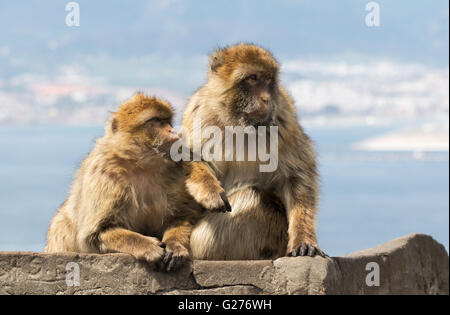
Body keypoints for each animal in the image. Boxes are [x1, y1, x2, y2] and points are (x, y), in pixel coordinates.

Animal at [45, 94, 230, 272]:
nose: (173, 132)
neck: (142, 164)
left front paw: (174, 245)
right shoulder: (103, 176)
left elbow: (183, 215)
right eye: (155, 121)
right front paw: (147, 246)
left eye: (167, 121)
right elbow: (95, 233)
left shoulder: (175, 172)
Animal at [181, 43, 326, 262]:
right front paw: (210, 190)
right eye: (252, 78)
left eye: (268, 79)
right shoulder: (199, 113)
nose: (266, 98)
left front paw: (303, 240)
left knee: (254, 197)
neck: (238, 124)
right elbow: (183, 155)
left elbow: (297, 174)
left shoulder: (284, 118)